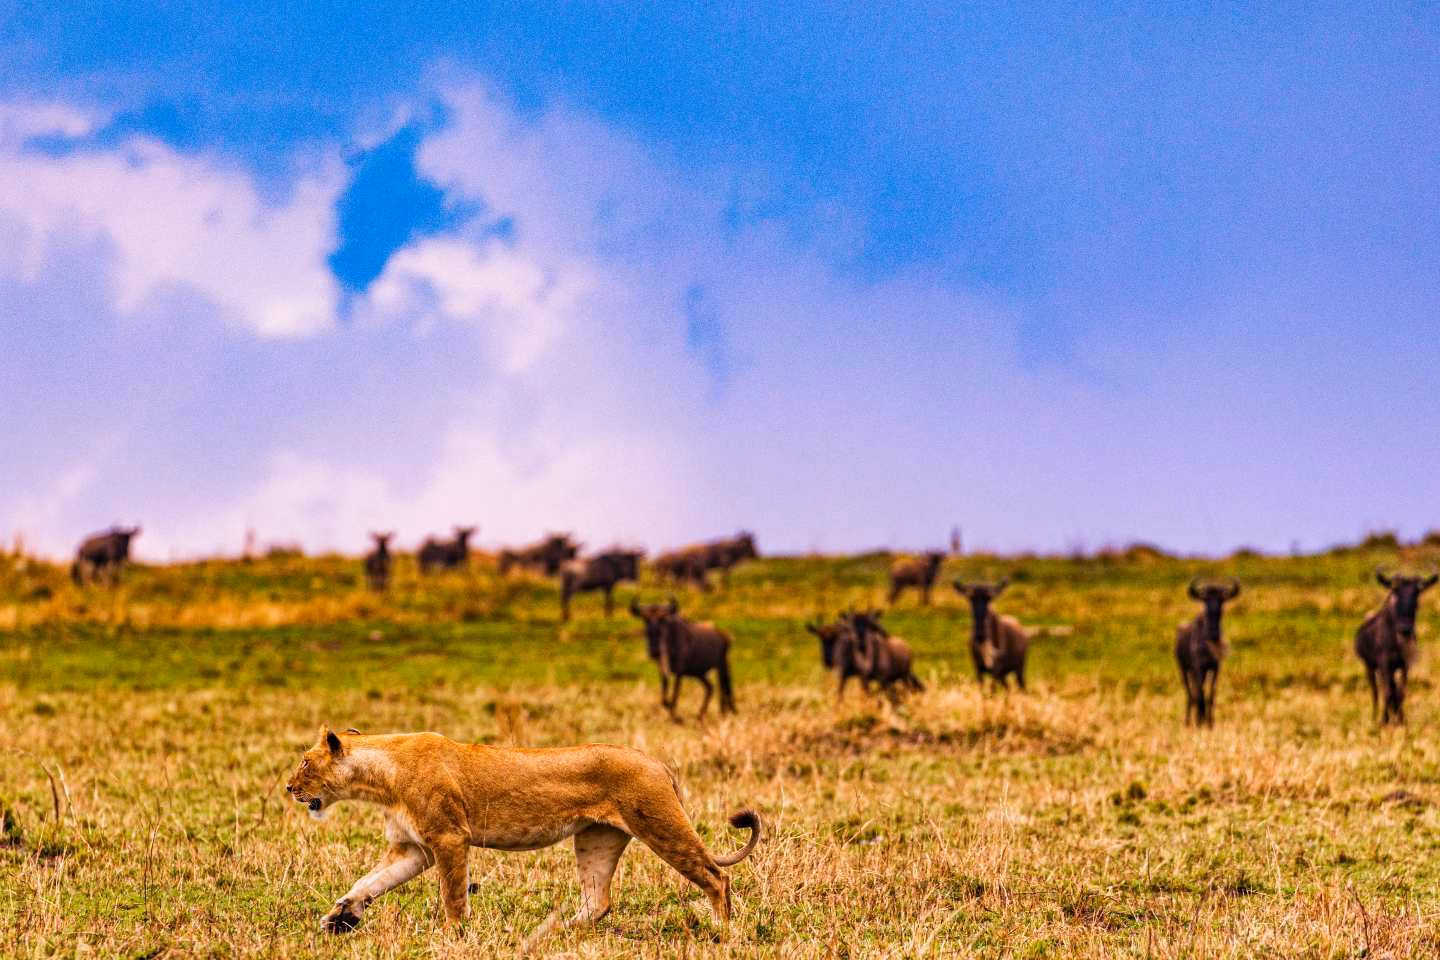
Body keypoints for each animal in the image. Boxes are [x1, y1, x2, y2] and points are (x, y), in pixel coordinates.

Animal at [285, 726, 760, 948]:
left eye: (305, 762)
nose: (289, 788)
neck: (379, 777)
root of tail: (659, 763)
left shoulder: (448, 837)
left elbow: (452, 894)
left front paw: (454, 935)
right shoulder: (414, 847)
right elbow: (369, 881)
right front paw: (340, 917)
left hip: (660, 824)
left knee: (715, 876)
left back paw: (723, 932)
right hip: (597, 839)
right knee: (598, 901)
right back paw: (551, 933)